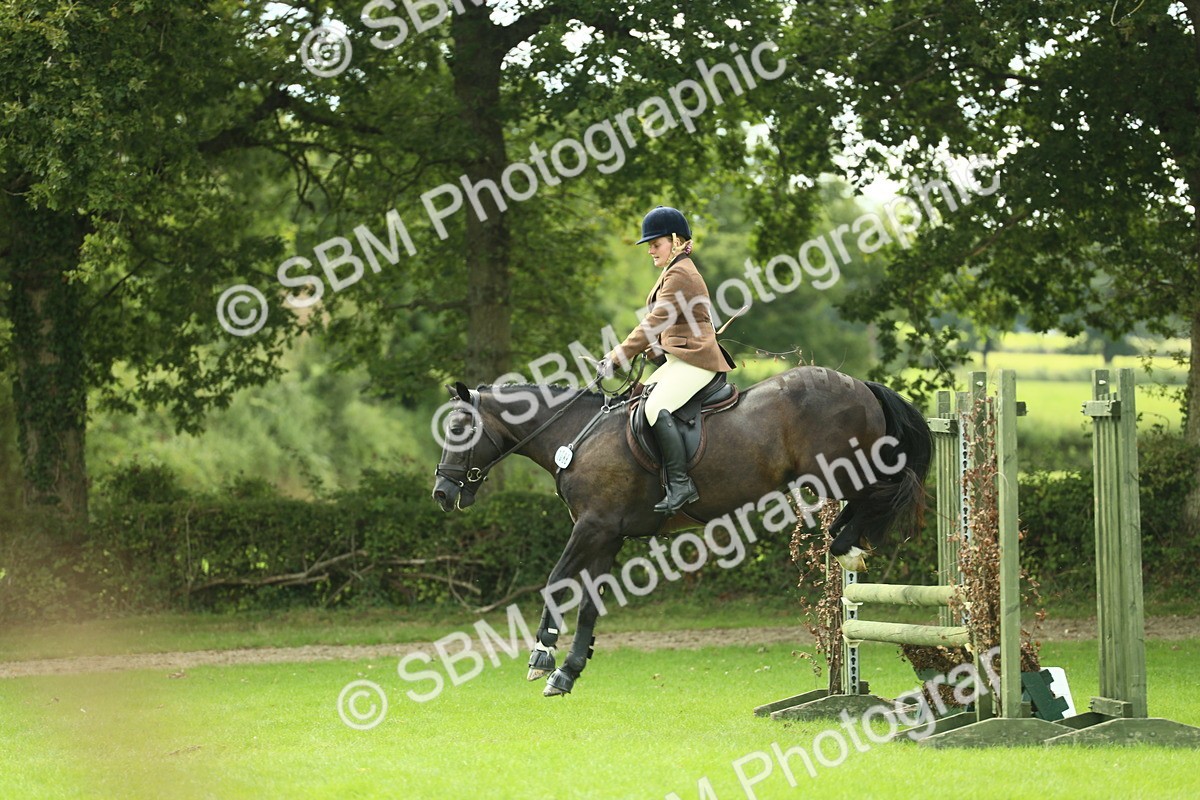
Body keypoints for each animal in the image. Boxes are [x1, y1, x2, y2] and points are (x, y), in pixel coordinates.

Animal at [431, 365, 932, 697]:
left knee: (892, 487)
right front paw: (568, 670)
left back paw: (846, 544)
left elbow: (556, 583)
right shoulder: (607, 534)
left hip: (840, 470)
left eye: (458, 428)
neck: (578, 435)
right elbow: (590, 603)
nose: (441, 492)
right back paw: (846, 543)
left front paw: (540, 656)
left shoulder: (592, 526)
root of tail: (859, 384)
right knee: (876, 497)